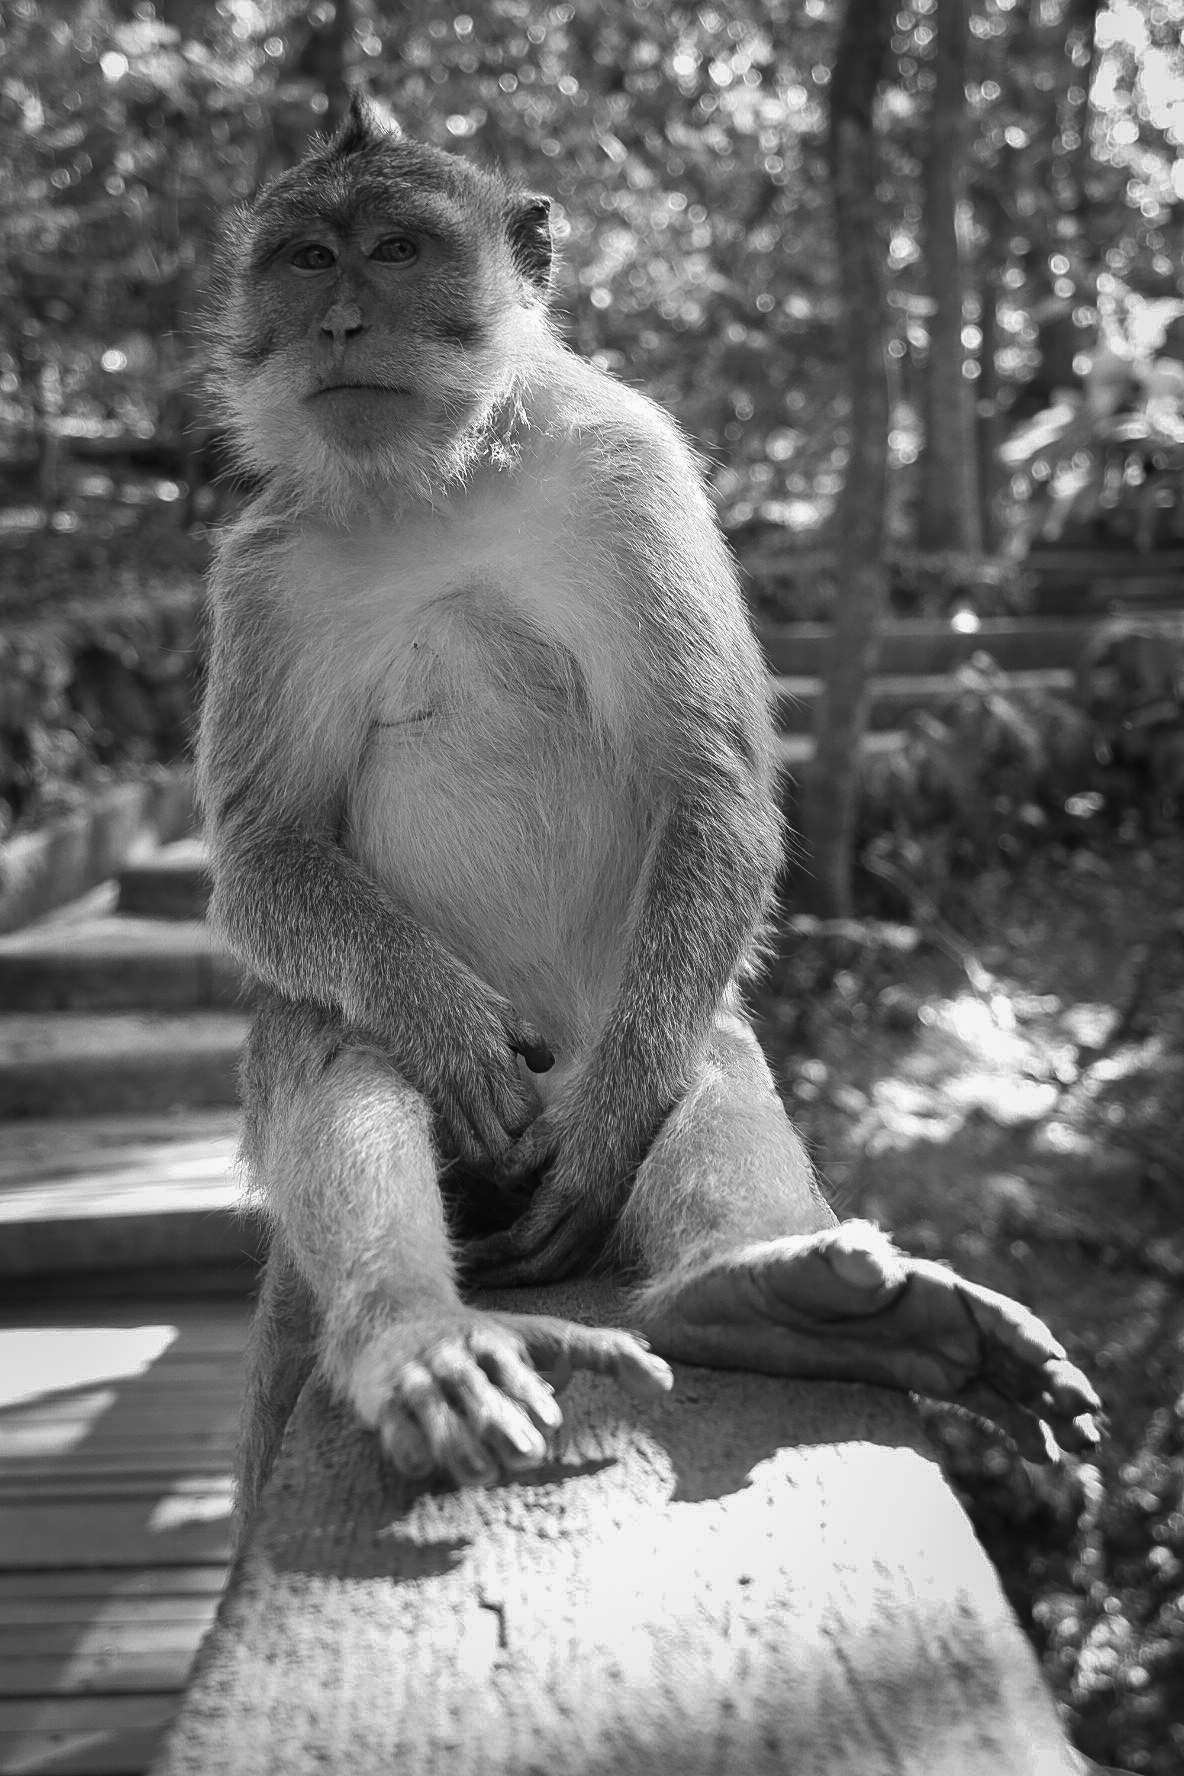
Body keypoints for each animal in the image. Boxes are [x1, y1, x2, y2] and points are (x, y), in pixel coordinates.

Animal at [198, 95, 1101, 1519]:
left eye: (395, 250)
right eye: (304, 259)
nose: (337, 324)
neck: (436, 488)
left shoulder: (630, 467)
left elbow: (708, 788)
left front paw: (630, 1151)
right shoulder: (264, 567)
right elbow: (263, 854)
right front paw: (447, 1030)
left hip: (608, 1042)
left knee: (698, 1048)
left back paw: (763, 1295)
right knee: (325, 1032)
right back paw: (417, 1331)